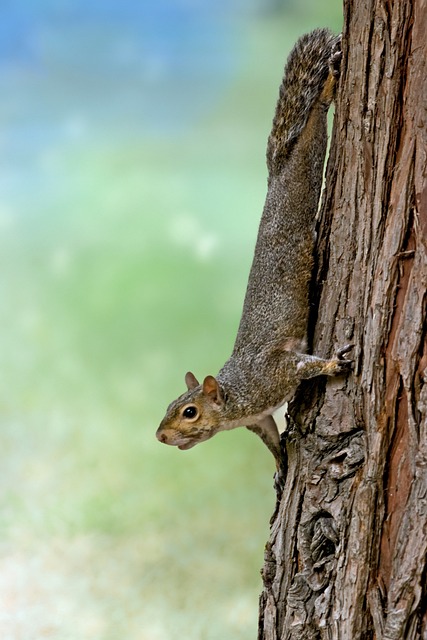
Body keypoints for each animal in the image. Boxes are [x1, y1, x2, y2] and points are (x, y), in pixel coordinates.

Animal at [155, 26, 352, 484]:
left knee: (310, 132)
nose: (159, 436)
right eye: (168, 405)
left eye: (189, 413)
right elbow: (271, 440)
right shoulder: (258, 419)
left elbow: (304, 367)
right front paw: (280, 466)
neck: (235, 398)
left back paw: (327, 90)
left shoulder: (274, 375)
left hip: (301, 178)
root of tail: (274, 178)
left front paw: (331, 365)